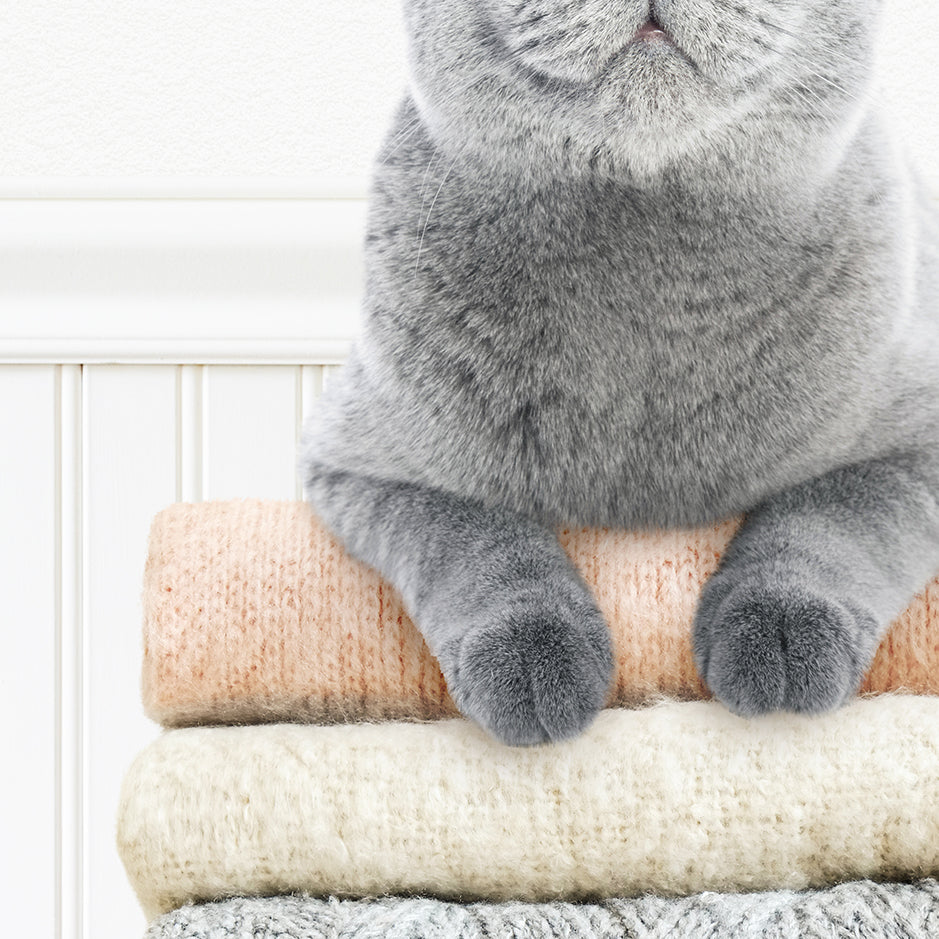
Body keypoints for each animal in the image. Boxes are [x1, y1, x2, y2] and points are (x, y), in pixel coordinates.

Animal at [300, 3, 939, 744]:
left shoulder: (917, 433)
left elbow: (831, 512)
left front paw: (779, 636)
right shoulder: (363, 457)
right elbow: (469, 534)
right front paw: (533, 658)